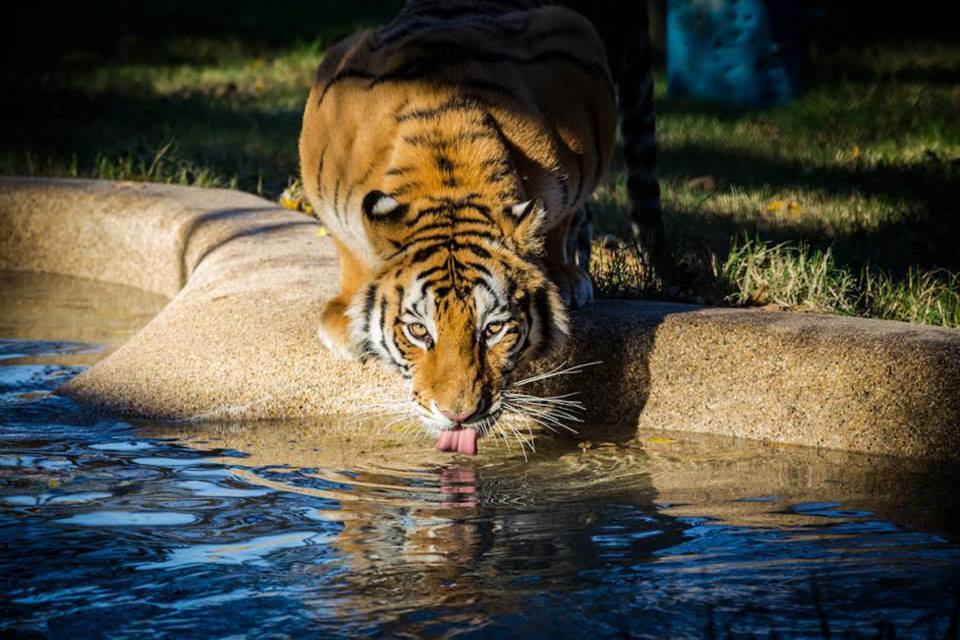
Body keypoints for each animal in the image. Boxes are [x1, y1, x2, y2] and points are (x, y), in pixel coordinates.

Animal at [298, 0, 661, 455]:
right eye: (418, 331)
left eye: (493, 330)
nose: (459, 415)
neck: (446, 173)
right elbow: (348, 246)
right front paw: (346, 320)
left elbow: (559, 223)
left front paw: (561, 276)